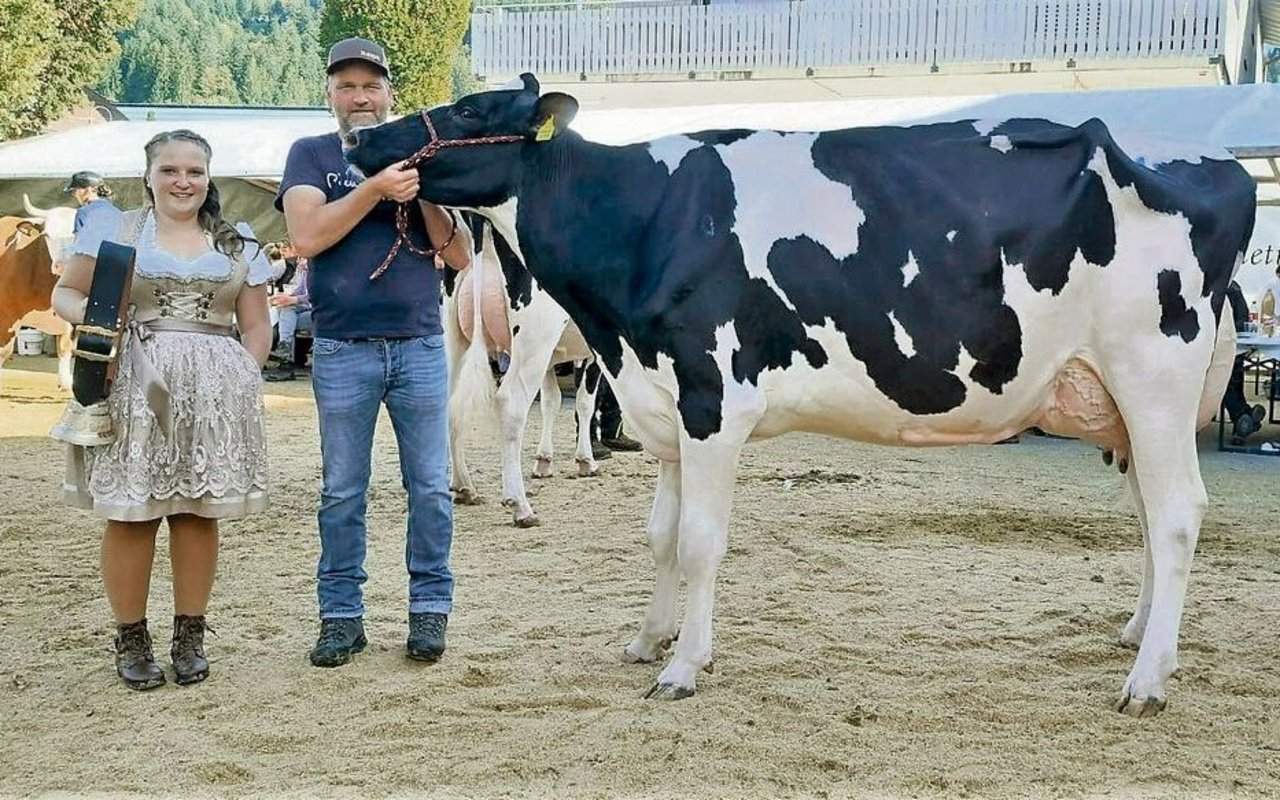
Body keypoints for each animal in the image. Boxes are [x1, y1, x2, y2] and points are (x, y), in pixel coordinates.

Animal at [442, 213, 601, 524]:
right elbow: (585, 403)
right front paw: (585, 460)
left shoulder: (553, 358)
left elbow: (551, 401)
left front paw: (544, 461)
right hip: (535, 337)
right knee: (511, 405)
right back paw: (520, 505)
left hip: (454, 335)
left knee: (448, 404)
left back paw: (464, 486)